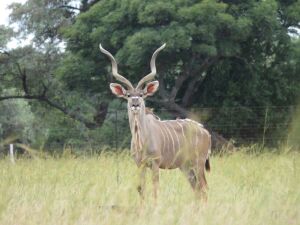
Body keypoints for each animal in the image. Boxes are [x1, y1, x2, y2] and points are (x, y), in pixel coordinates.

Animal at [100, 43, 211, 200]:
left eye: (141, 94)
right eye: (128, 95)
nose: (135, 104)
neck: (142, 140)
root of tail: (205, 132)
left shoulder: (155, 163)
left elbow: (155, 189)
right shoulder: (139, 164)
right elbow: (141, 189)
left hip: (198, 163)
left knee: (204, 188)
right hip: (185, 166)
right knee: (197, 189)